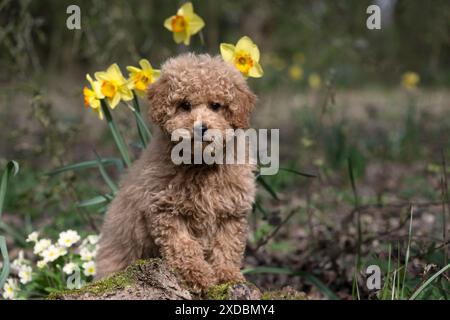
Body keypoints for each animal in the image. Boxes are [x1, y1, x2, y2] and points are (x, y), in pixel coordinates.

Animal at [96, 53, 256, 292]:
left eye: (216, 106)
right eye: (185, 105)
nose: (201, 127)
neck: (200, 163)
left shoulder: (231, 212)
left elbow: (227, 246)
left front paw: (228, 276)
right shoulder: (166, 210)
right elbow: (183, 246)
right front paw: (198, 275)